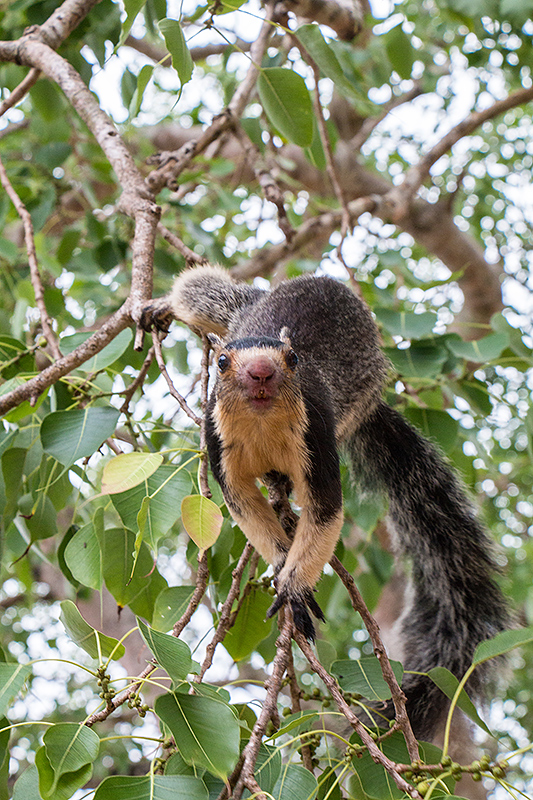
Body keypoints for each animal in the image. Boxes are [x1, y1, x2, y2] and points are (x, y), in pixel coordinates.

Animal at [141, 266, 508, 740]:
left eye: (292, 358)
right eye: (221, 363)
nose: (260, 372)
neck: (262, 426)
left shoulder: (316, 437)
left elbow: (326, 510)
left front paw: (295, 588)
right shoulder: (217, 443)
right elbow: (244, 507)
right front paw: (282, 560)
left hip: (358, 398)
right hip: (231, 309)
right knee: (198, 292)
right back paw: (161, 305)